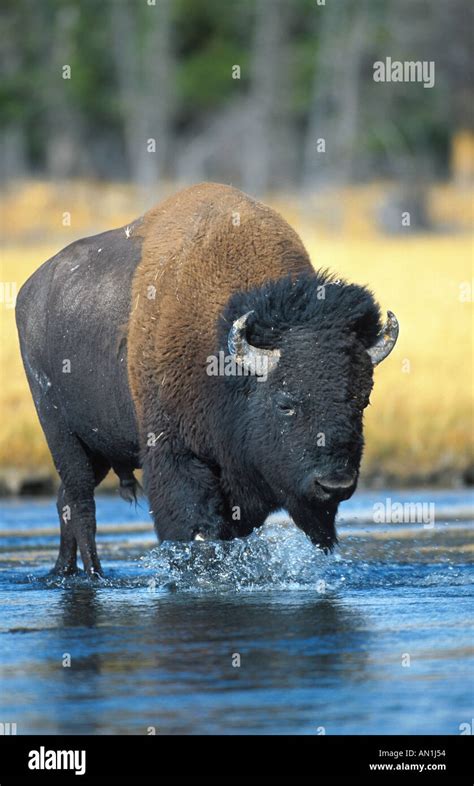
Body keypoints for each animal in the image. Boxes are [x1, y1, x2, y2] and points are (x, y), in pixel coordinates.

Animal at [14, 184, 398, 576]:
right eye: (285, 404)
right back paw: (95, 575)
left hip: (98, 450)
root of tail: (28, 291)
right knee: (81, 504)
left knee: (65, 501)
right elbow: (194, 530)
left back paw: (63, 572)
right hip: (62, 436)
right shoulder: (175, 455)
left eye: (362, 400)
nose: (335, 483)